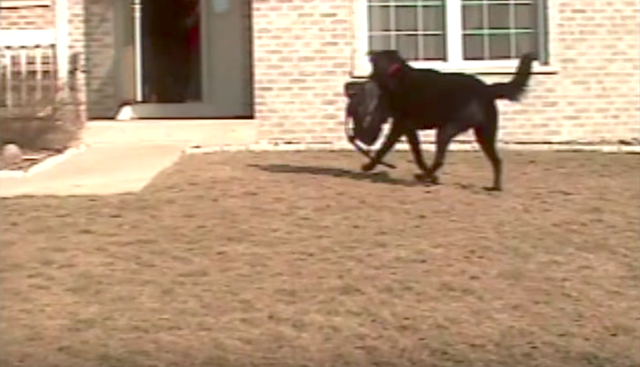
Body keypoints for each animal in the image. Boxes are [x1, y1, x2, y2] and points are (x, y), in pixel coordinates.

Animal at [360, 50, 536, 193]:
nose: (366, 79)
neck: (398, 76)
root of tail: (486, 90)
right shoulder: (409, 128)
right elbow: (417, 154)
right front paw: (432, 177)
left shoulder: (400, 126)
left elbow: (384, 148)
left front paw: (368, 166)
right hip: (485, 134)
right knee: (497, 160)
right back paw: (495, 187)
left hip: (447, 129)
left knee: (440, 159)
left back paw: (422, 177)